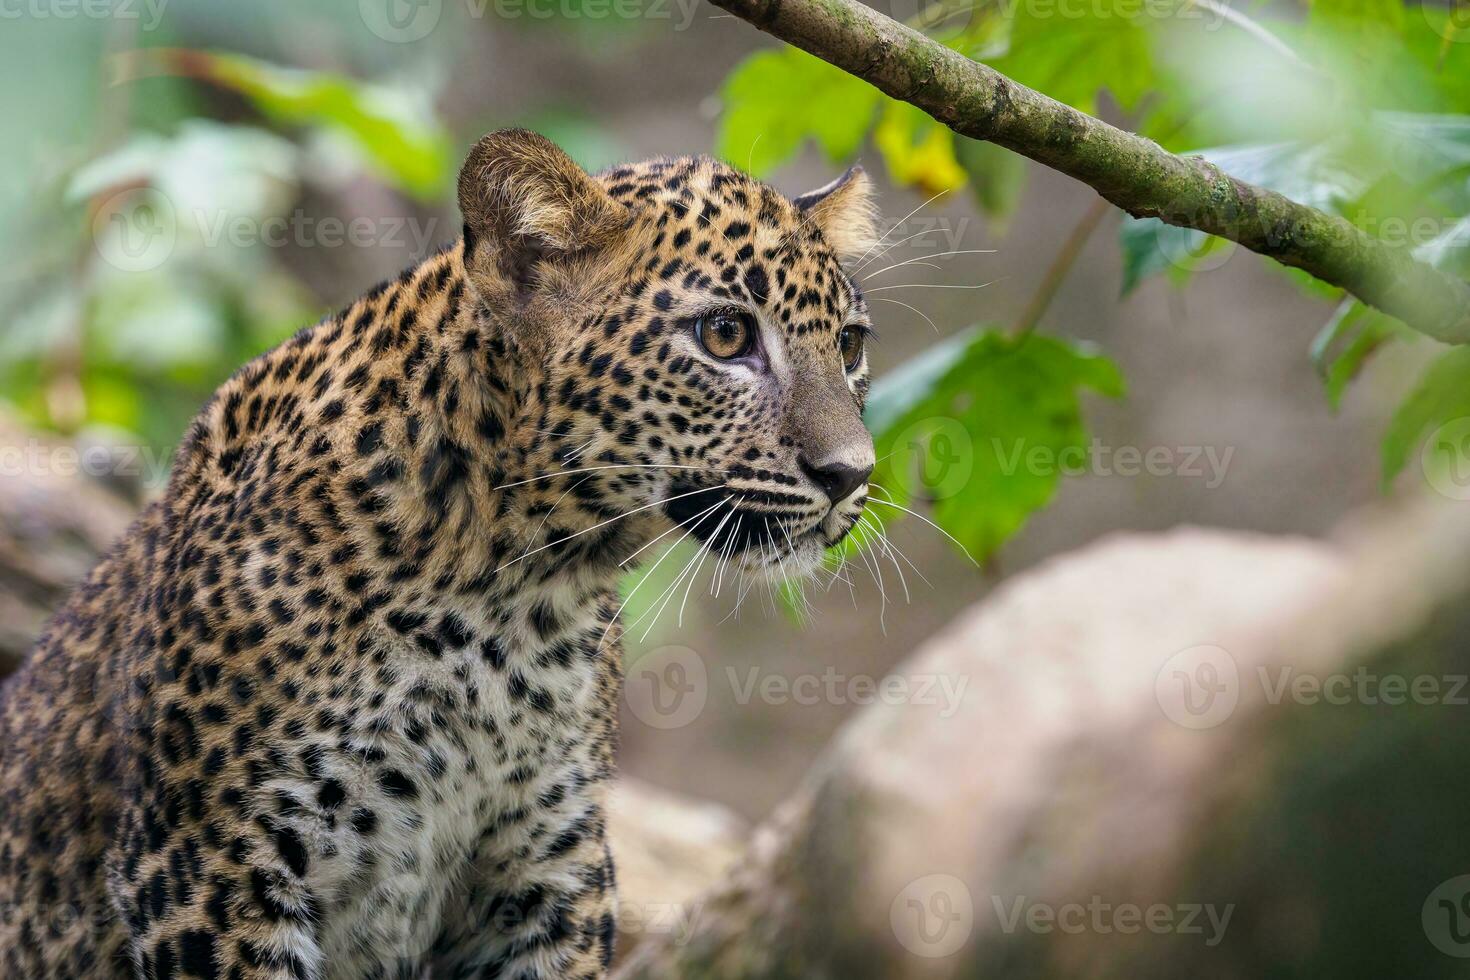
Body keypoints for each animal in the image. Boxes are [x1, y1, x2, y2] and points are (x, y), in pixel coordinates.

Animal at [0, 130, 876, 980]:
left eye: (851, 344)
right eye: (725, 335)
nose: (852, 474)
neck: (511, 594)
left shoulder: (550, 865)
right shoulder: (210, 869)